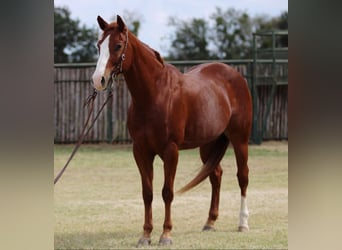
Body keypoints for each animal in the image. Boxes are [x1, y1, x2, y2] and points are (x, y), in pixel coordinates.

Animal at [92, 15, 252, 246]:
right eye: (99, 45)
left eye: (118, 45)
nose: (99, 80)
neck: (155, 95)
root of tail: (236, 76)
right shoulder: (141, 151)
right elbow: (147, 193)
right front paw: (145, 235)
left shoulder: (171, 151)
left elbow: (167, 192)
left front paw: (166, 234)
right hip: (208, 144)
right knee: (216, 175)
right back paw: (210, 222)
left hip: (240, 140)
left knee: (243, 176)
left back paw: (243, 223)